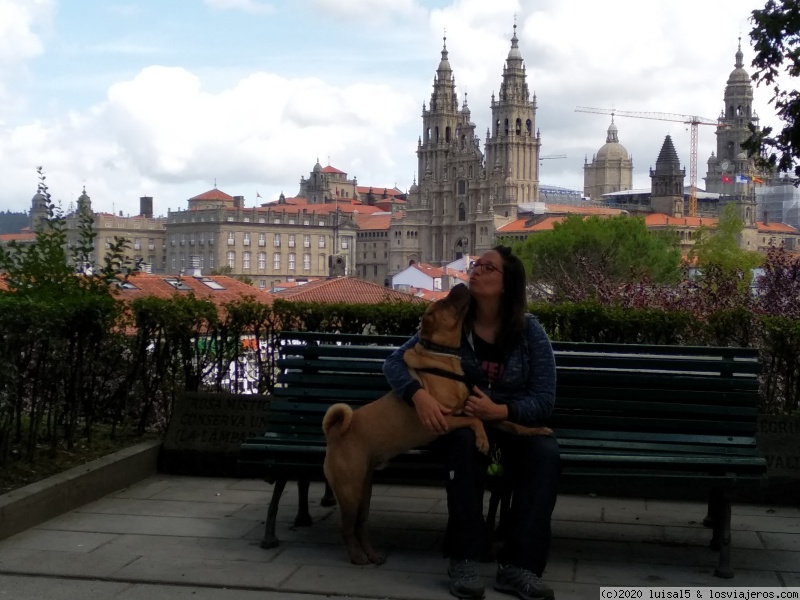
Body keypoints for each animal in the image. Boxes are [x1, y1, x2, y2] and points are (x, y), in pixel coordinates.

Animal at [318, 284, 552, 564]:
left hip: (364, 486)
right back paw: (357, 556)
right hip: (350, 488)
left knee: (360, 523)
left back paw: (372, 554)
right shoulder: (443, 419)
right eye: (444, 302)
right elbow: (473, 420)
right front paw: (483, 441)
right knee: (347, 527)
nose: (461, 284)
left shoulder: (483, 412)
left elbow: (510, 422)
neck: (443, 357)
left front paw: (536, 429)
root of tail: (334, 433)